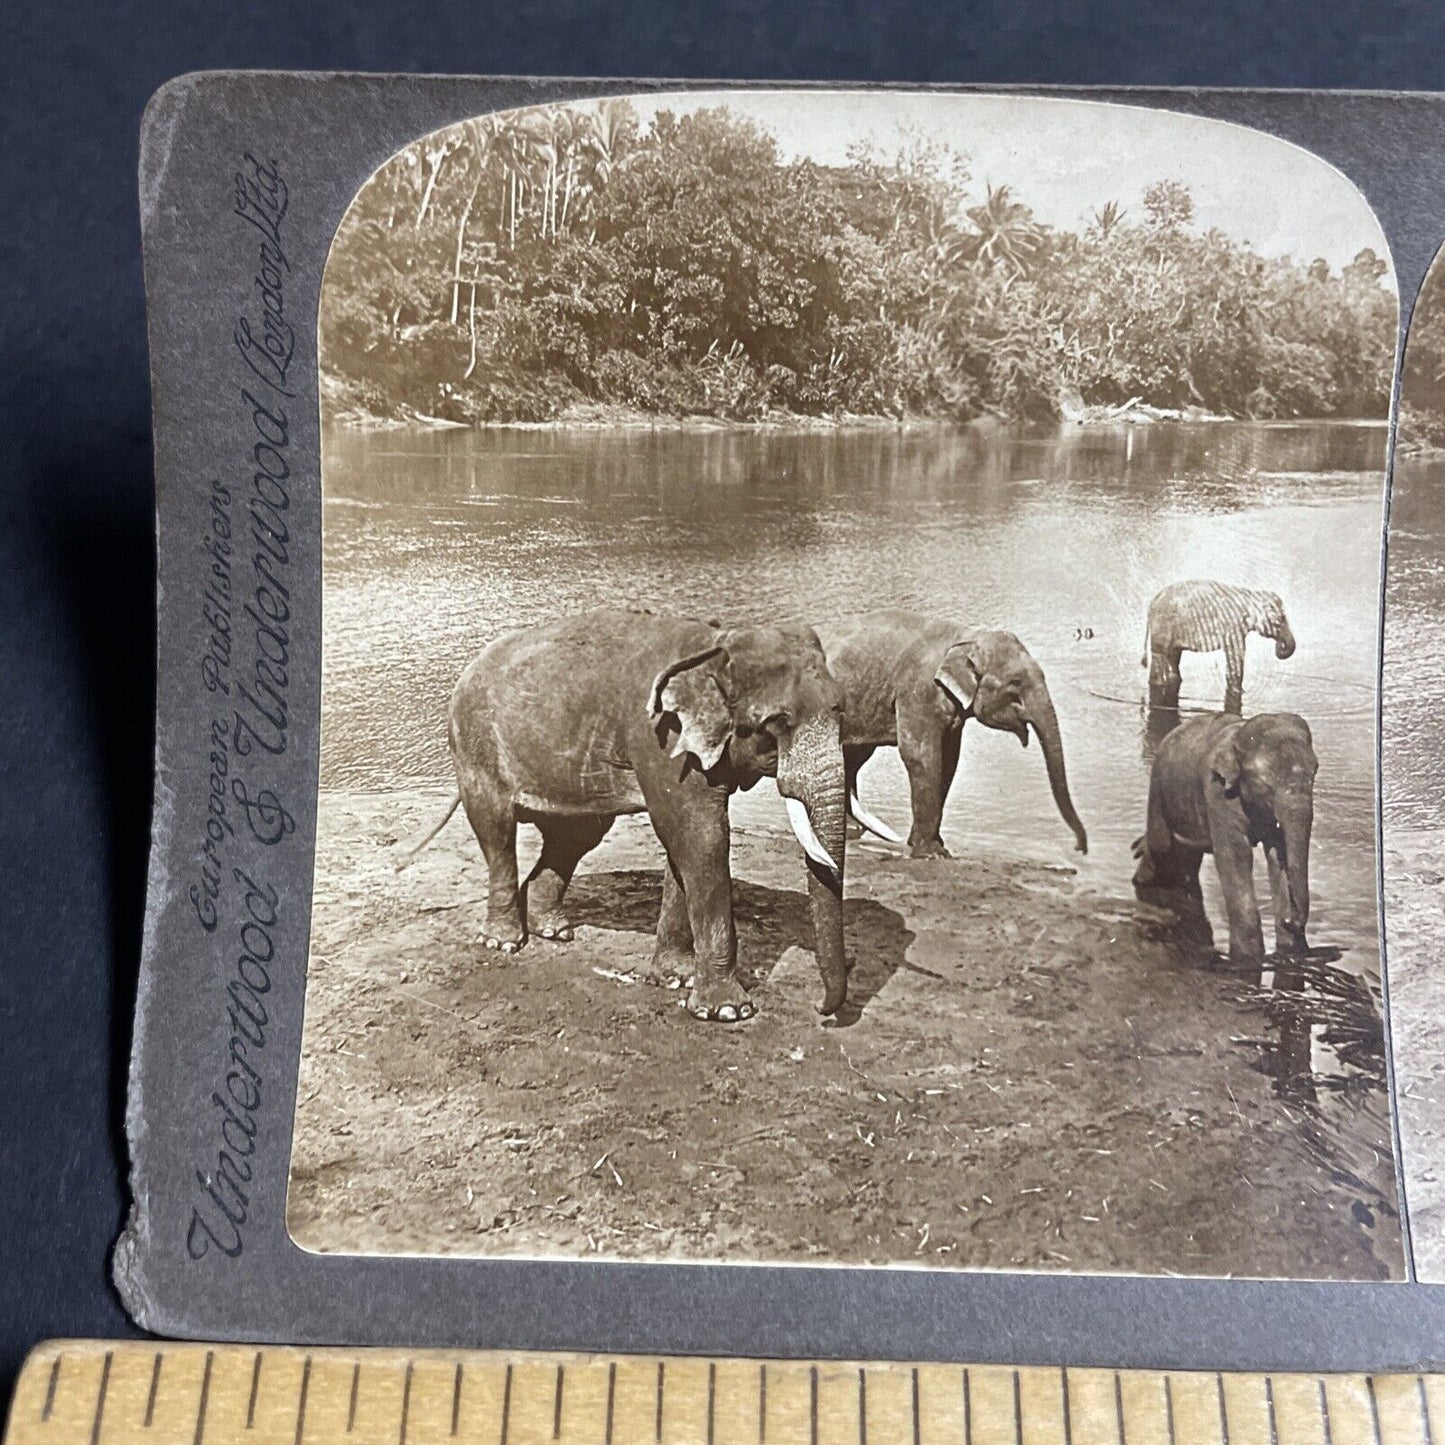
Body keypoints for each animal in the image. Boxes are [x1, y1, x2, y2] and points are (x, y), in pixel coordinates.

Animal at [407, 604, 849, 1023]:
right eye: (778, 723)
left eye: (840, 711)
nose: (820, 1008)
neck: (716, 642)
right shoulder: (659, 740)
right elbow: (701, 838)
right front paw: (726, 1011)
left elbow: (683, 846)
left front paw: (676, 978)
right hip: (476, 743)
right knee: (496, 829)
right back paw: (504, 941)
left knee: (576, 836)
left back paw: (552, 929)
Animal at [814, 606, 1086, 855]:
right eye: (1015, 685)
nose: (1079, 848)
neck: (965, 637)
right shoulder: (917, 691)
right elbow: (921, 756)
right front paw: (930, 853)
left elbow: (949, 760)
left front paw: (931, 844)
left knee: (854, 758)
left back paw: (852, 830)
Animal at [1127, 708, 1323, 965]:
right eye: (1263, 782)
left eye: (1315, 771)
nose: (1289, 920)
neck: (1239, 736)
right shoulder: (1218, 791)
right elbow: (1235, 854)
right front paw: (1249, 958)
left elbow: (1276, 854)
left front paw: (1288, 951)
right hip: (1158, 789)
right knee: (1161, 846)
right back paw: (1141, 877)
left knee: (1188, 855)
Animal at [1138, 575, 1300, 710]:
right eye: (1281, 619)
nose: (1280, 646)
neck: (1250, 595)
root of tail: (1150, 607)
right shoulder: (1233, 626)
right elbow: (1236, 655)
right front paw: (1239, 692)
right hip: (1163, 630)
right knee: (1161, 661)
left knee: (1172, 659)